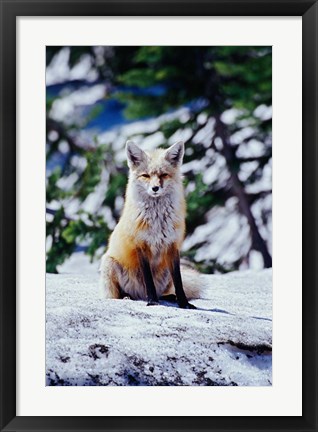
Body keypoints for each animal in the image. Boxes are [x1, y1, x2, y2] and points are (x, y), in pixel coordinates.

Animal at [99, 141, 200, 308]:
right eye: (145, 175)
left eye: (164, 175)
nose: (155, 188)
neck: (157, 221)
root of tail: (139, 295)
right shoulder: (141, 245)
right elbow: (148, 280)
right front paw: (152, 301)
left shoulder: (172, 246)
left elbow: (178, 281)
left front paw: (184, 303)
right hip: (109, 263)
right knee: (118, 295)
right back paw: (128, 297)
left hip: (165, 273)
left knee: (164, 292)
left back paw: (169, 297)